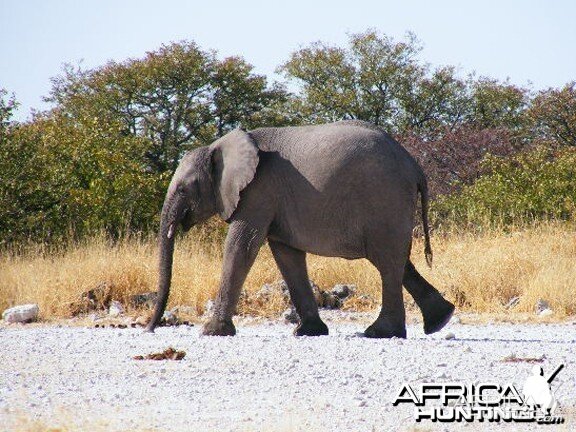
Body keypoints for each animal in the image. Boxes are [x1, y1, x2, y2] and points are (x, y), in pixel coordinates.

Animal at [147, 119, 454, 338]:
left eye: (184, 189)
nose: (150, 328)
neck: (219, 146)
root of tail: (414, 165)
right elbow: (287, 255)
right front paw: (308, 332)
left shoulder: (258, 192)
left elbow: (242, 246)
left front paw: (211, 332)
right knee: (398, 260)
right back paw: (440, 320)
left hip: (385, 199)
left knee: (387, 261)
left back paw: (380, 333)